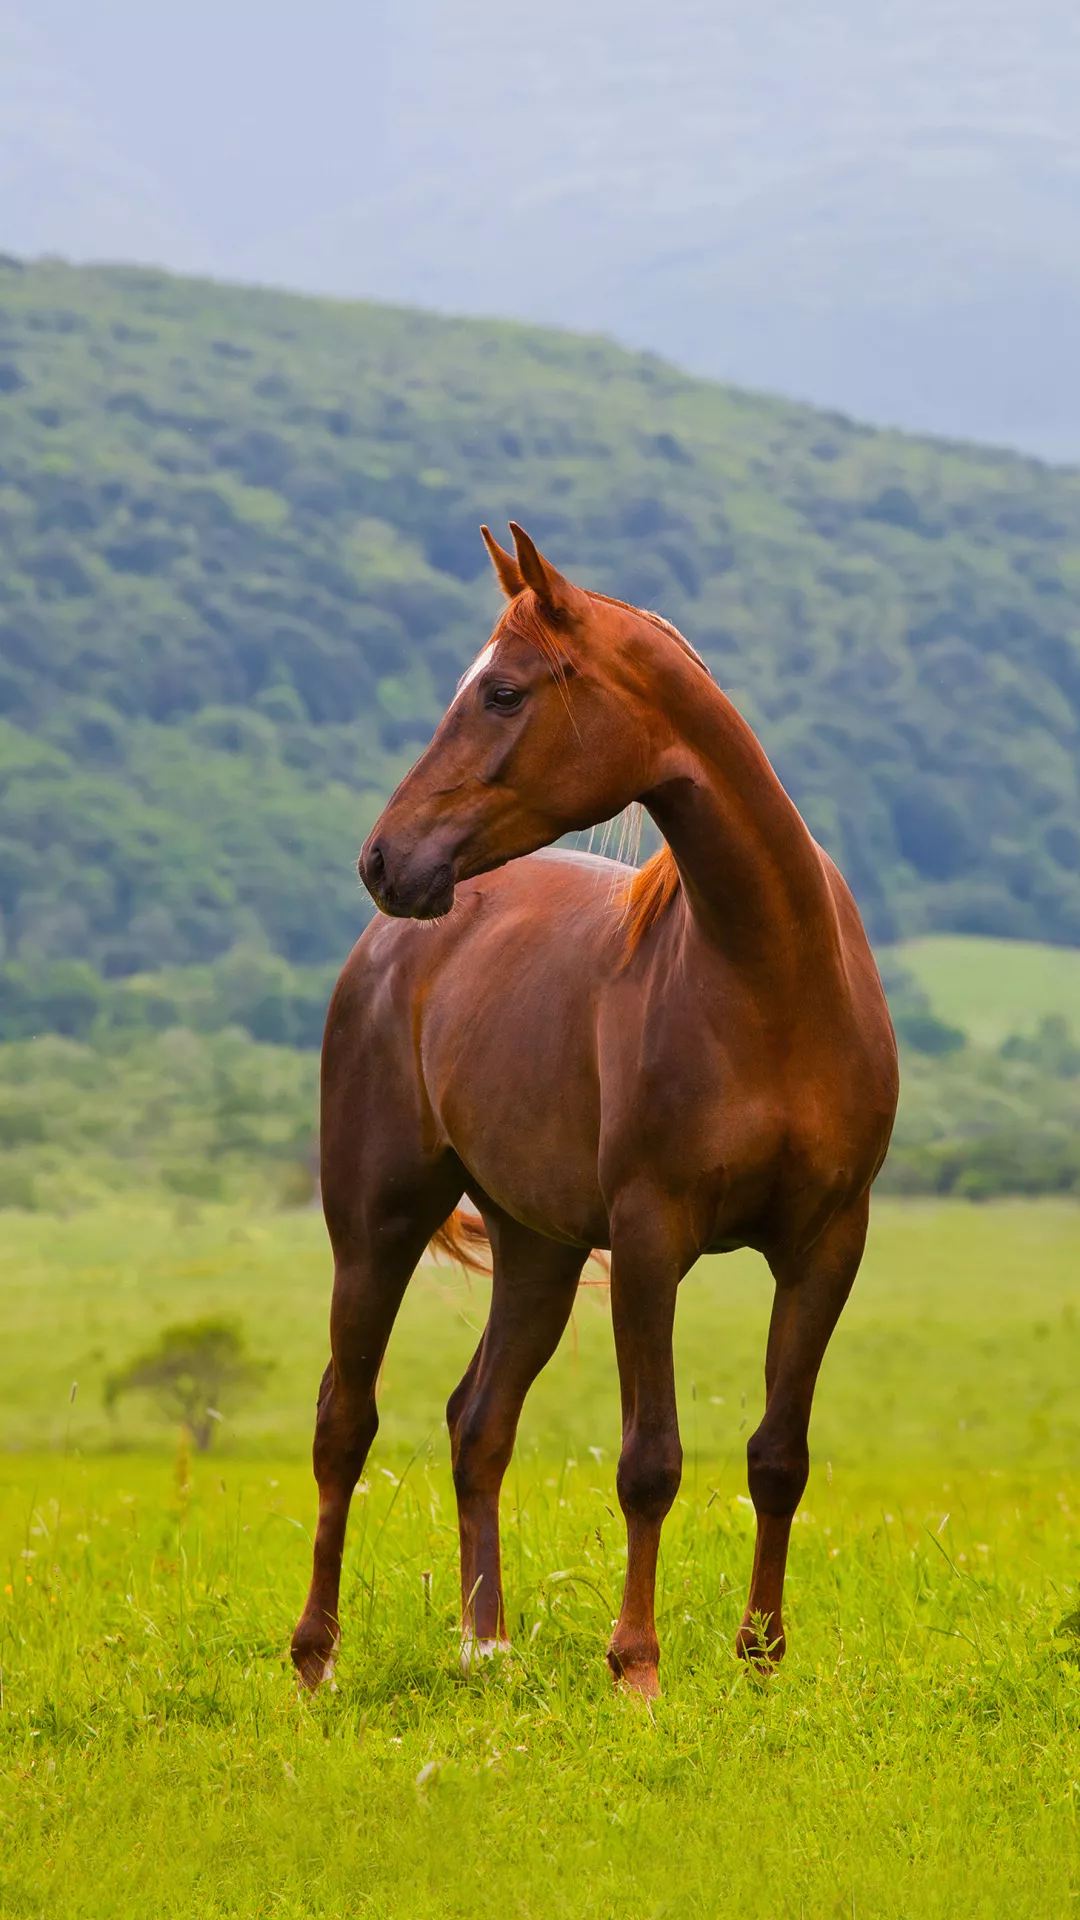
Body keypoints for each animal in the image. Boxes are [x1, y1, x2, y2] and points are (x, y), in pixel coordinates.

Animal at [290, 522, 895, 1697]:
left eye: (505, 692)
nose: (385, 859)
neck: (772, 979)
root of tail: (387, 947)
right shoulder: (652, 1238)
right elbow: (649, 1462)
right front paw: (638, 1668)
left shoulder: (827, 1244)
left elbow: (779, 1457)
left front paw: (762, 1661)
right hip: (376, 1226)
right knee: (345, 1421)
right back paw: (315, 1658)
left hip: (538, 1249)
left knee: (478, 1422)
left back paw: (485, 1643)